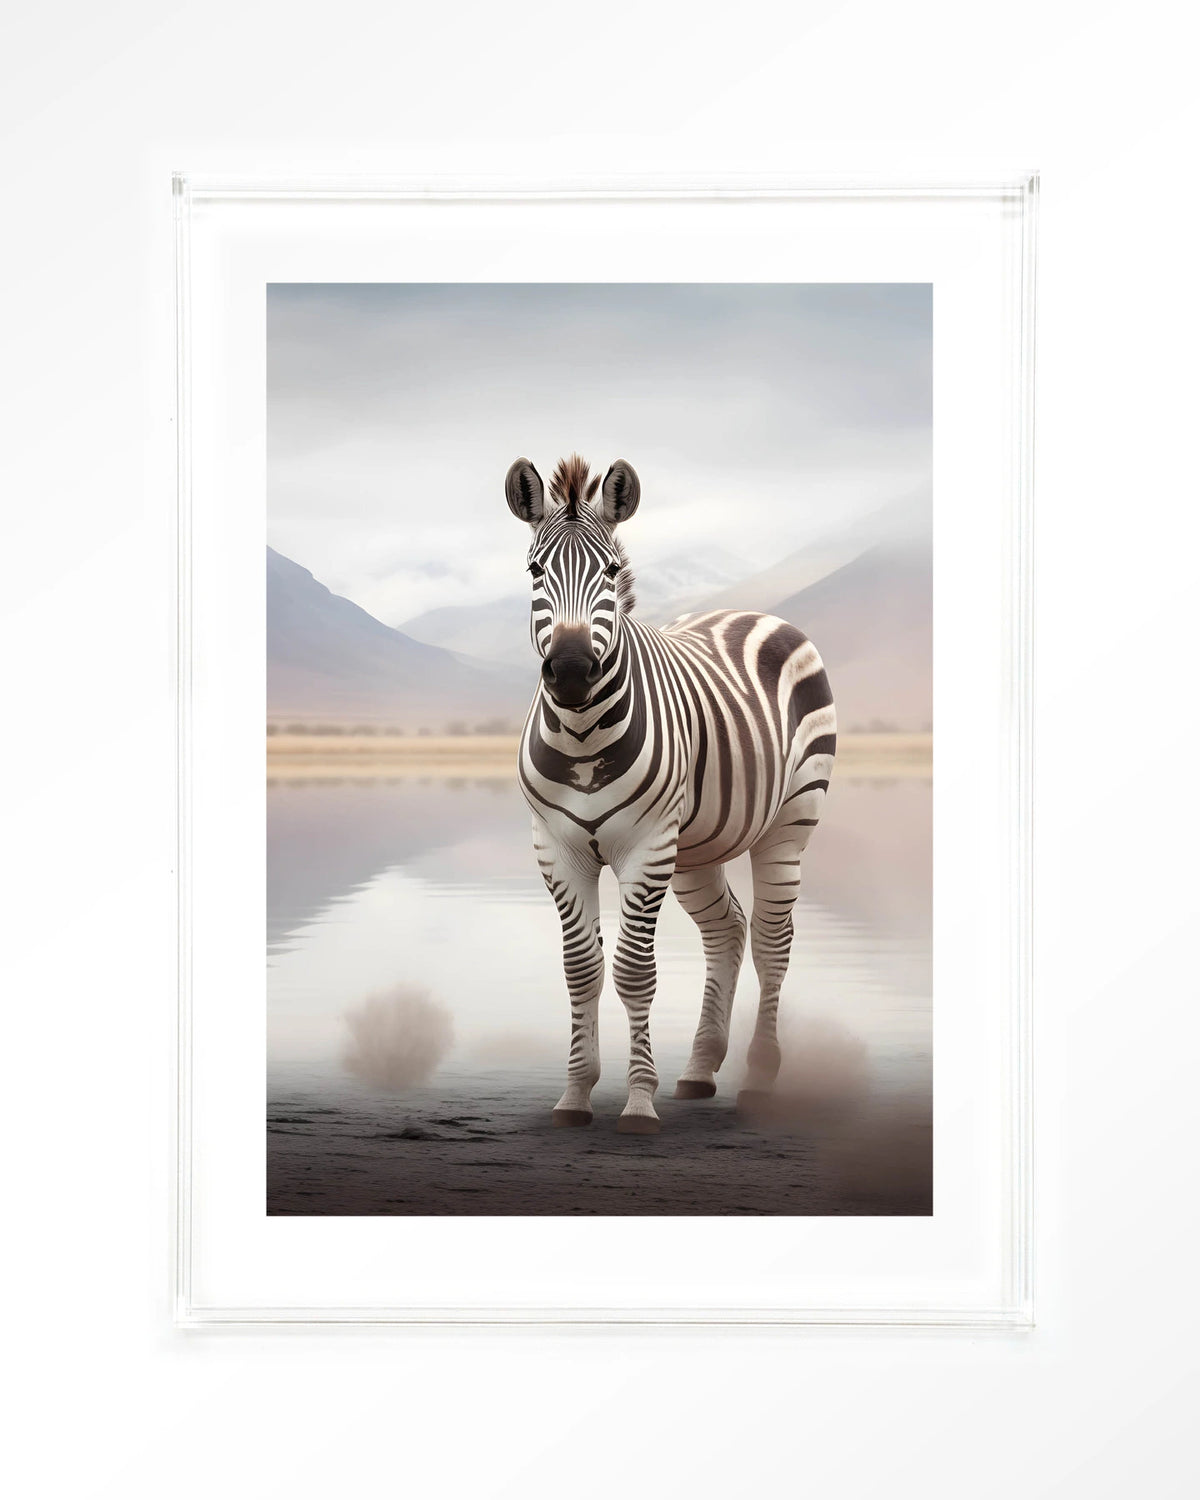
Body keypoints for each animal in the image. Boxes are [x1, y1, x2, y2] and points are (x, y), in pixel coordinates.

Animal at [507, 453, 836, 1134]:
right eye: (534, 571)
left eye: (610, 571)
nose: (571, 671)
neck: (582, 735)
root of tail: (754, 612)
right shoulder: (557, 849)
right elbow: (581, 970)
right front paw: (575, 1095)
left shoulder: (645, 846)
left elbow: (634, 972)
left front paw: (638, 1102)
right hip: (696, 849)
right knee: (727, 930)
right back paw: (700, 1069)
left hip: (789, 823)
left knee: (772, 941)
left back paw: (758, 1079)